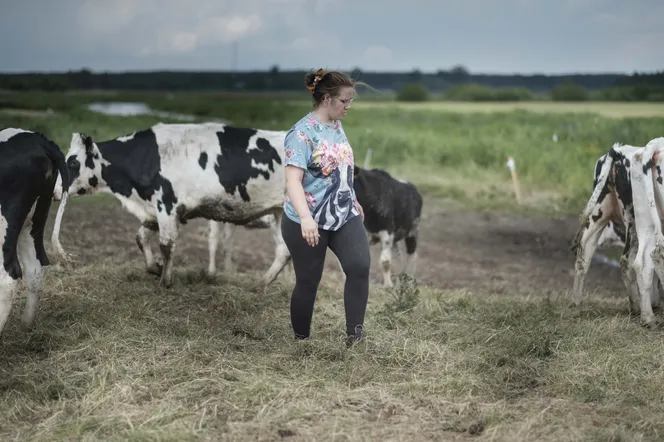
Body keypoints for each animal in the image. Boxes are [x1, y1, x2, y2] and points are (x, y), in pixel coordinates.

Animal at [50, 122, 290, 288]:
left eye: (73, 162)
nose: (54, 191)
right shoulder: (153, 211)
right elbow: (140, 237)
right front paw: (154, 268)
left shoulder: (167, 205)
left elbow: (166, 245)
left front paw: (164, 281)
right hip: (279, 214)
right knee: (284, 251)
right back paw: (259, 285)